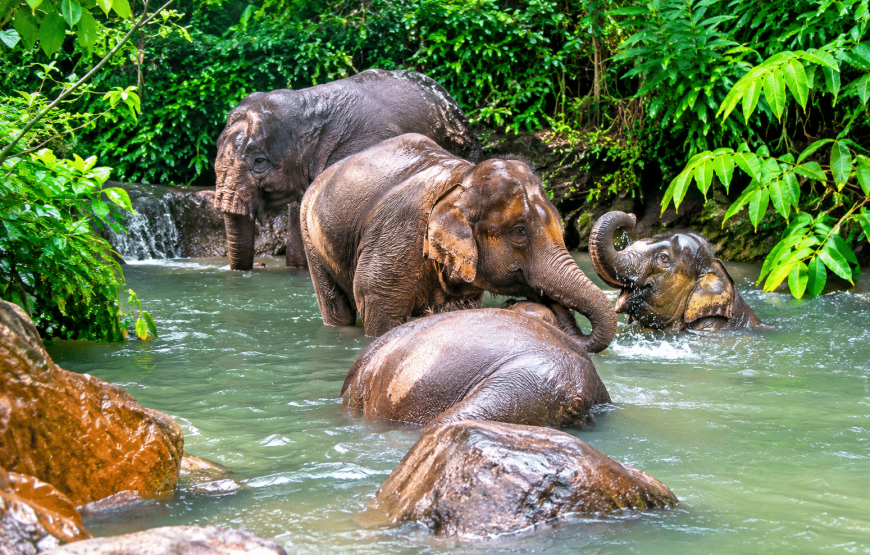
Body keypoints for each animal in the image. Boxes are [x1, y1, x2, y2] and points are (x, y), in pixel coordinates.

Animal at [300, 133, 617, 345]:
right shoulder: (395, 238)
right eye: (520, 232)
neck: (461, 179)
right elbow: (379, 311)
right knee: (336, 308)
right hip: (309, 234)